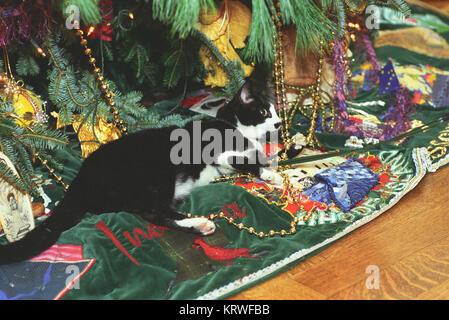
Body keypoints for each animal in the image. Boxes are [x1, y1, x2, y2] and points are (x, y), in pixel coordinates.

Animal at [0, 81, 302, 264]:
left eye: (277, 112)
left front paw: (292, 147)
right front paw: (271, 174)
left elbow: (264, 155)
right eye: (263, 111)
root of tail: (79, 182)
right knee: (152, 213)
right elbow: (247, 160)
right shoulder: (217, 152)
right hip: (158, 176)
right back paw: (200, 223)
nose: (279, 123)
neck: (233, 126)